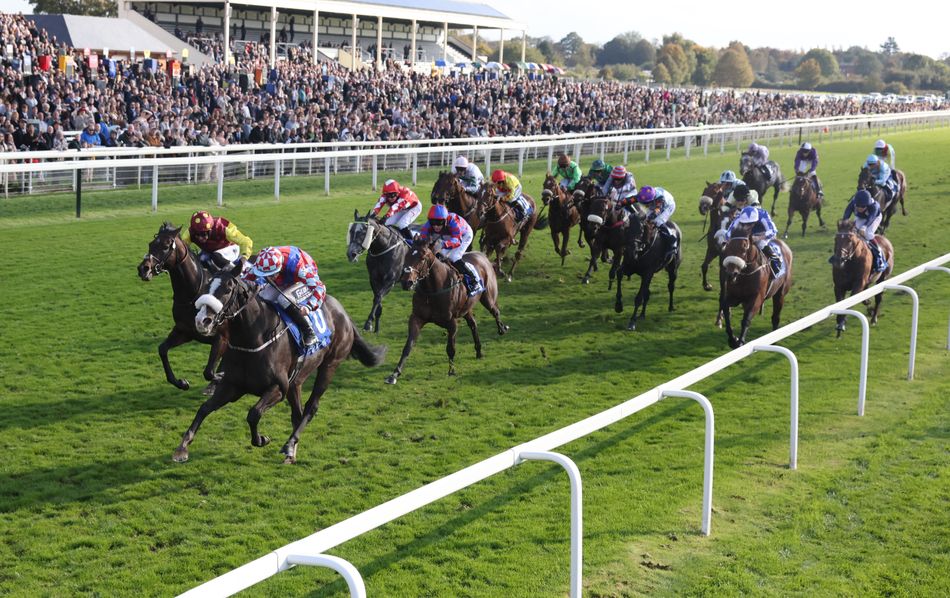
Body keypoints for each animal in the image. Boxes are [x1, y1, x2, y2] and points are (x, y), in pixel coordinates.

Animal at [138, 222, 227, 393]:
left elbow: (210, 372)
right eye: (151, 244)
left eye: (166, 246)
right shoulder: (184, 331)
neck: (194, 294)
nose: (143, 269)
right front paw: (181, 382)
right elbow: (162, 349)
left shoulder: (221, 338)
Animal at [178, 269, 387, 463]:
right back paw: (291, 450)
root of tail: (344, 314)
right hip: (296, 380)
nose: (202, 321)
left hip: (329, 366)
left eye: (228, 289)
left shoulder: (278, 388)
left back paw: (289, 444)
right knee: (297, 413)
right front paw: (182, 448)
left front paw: (262, 439)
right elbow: (204, 408)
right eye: (207, 286)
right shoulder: (233, 385)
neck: (253, 339)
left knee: (310, 408)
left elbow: (253, 414)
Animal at [385, 241, 508, 384]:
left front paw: (451, 371)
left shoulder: (452, 323)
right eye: (406, 256)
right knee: (473, 324)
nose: (406, 282)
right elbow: (408, 346)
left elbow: (451, 348)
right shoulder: (416, 318)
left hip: (488, 297)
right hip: (466, 308)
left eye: (422, 258)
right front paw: (394, 374)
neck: (433, 290)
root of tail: (482, 255)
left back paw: (502, 328)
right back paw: (479, 351)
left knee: (495, 311)